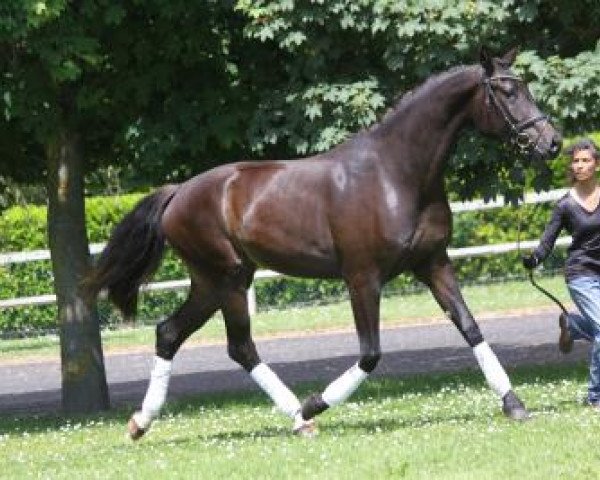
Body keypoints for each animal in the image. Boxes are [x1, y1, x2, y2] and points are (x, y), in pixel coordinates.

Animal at [83, 47, 564, 438]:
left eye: (524, 86)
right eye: (505, 92)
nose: (552, 143)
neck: (396, 173)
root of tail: (178, 192)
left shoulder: (433, 263)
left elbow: (470, 327)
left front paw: (514, 405)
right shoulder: (362, 277)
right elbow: (370, 353)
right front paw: (317, 403)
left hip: (211, 282)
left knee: (173, 334)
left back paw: (141, 423)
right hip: (228, 279)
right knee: (237, 345)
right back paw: (301, 417)